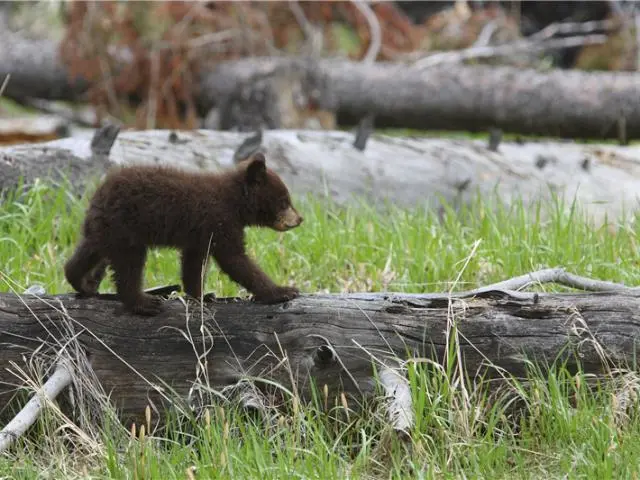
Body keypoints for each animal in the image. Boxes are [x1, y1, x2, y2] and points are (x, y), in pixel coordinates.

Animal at [64, 152, 303, 316]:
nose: (299, 219)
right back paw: (144, 303)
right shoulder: (220, 221)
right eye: (284, 201)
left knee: (88, 251)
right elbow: (235, 259)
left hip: (105, 228)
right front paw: (283, 290)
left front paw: (202, 295)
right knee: (129, 266)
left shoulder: (201, 236)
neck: (235, 202)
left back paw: (82, 282)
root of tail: (99, 193)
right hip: (127, 228)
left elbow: (194, 264)